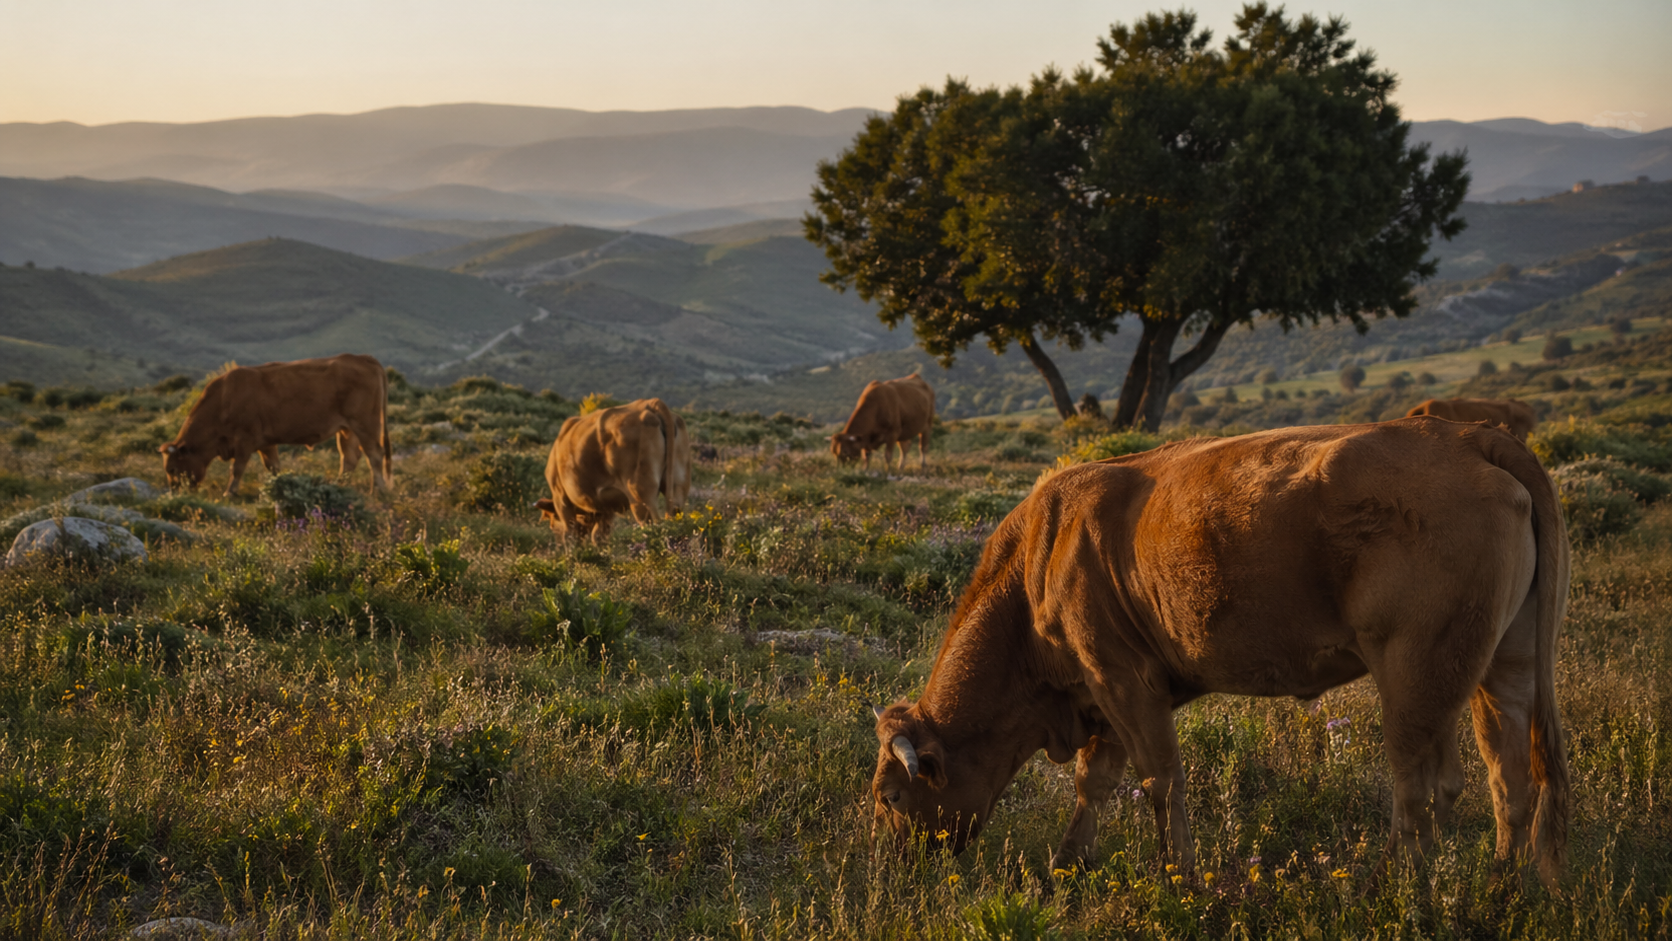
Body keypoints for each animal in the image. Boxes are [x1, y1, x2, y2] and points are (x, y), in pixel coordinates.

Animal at [160, 354, 390, 496]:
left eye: (172, 468)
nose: (175, 492)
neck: (224, 399)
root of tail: (363, 358)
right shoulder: (266, 442)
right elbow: (273, 467)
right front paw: (280, 487)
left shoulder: (245, 440)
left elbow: (237, 468)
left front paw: (229, 492)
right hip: (346, 429)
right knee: (349, 457)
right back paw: (339, 486)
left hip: (365, 424)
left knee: (374, 454)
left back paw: (378, 490)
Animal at [534, 398, 691, 544]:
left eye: (552, 524)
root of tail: (649, 403)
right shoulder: (606, 509)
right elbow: (599, 536)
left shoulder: (561, 498)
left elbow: (571, 535)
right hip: (678, 484)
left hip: (639, 492)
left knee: (653, 524)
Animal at [870, 417, 1570, 889]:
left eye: (890, 797)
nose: (896, 867)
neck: (1037, 561)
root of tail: (1463, 434)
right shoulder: (1108, 694)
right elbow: (1096, 782)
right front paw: (1066, 866)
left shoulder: (1120, 677)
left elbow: (1159, 778)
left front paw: (1178, 876)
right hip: (1503, 662)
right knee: (1507, 772)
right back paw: (1503, 882)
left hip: (1414, 672)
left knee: (1421, 783)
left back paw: (1389, 887)